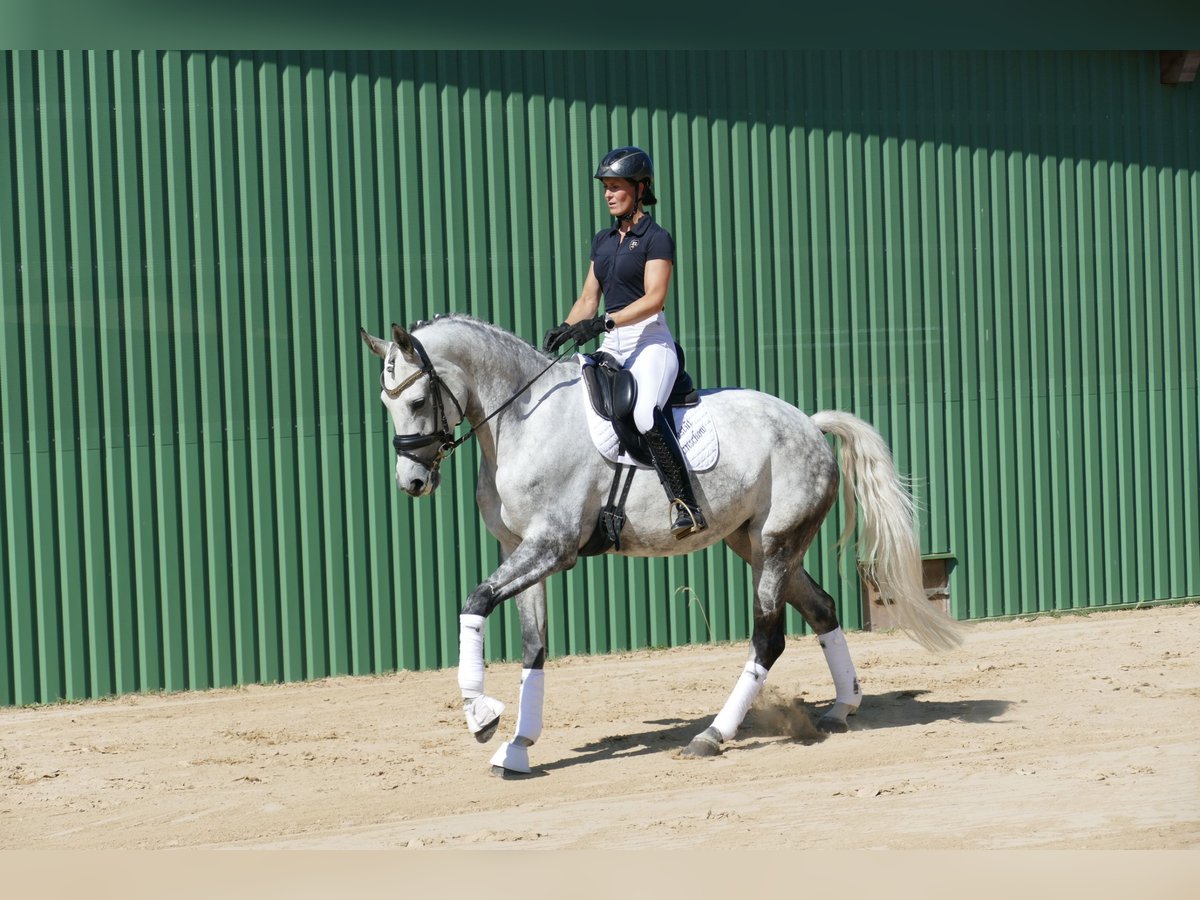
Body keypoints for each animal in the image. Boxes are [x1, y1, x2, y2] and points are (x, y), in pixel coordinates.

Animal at [360, 314, 960, 777]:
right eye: (387, 404)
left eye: (418, 399)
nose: (412, 483)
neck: (522, 420)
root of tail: (809, 424)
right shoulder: (521, 548)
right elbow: (534, 647)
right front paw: (519, 747)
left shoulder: (552, 547)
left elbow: (476, 600)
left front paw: (481, 716)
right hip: (756, 545)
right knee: (823, 608)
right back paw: (840, 708)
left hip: (777, 543)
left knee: (768, 639)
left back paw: (713, 736)